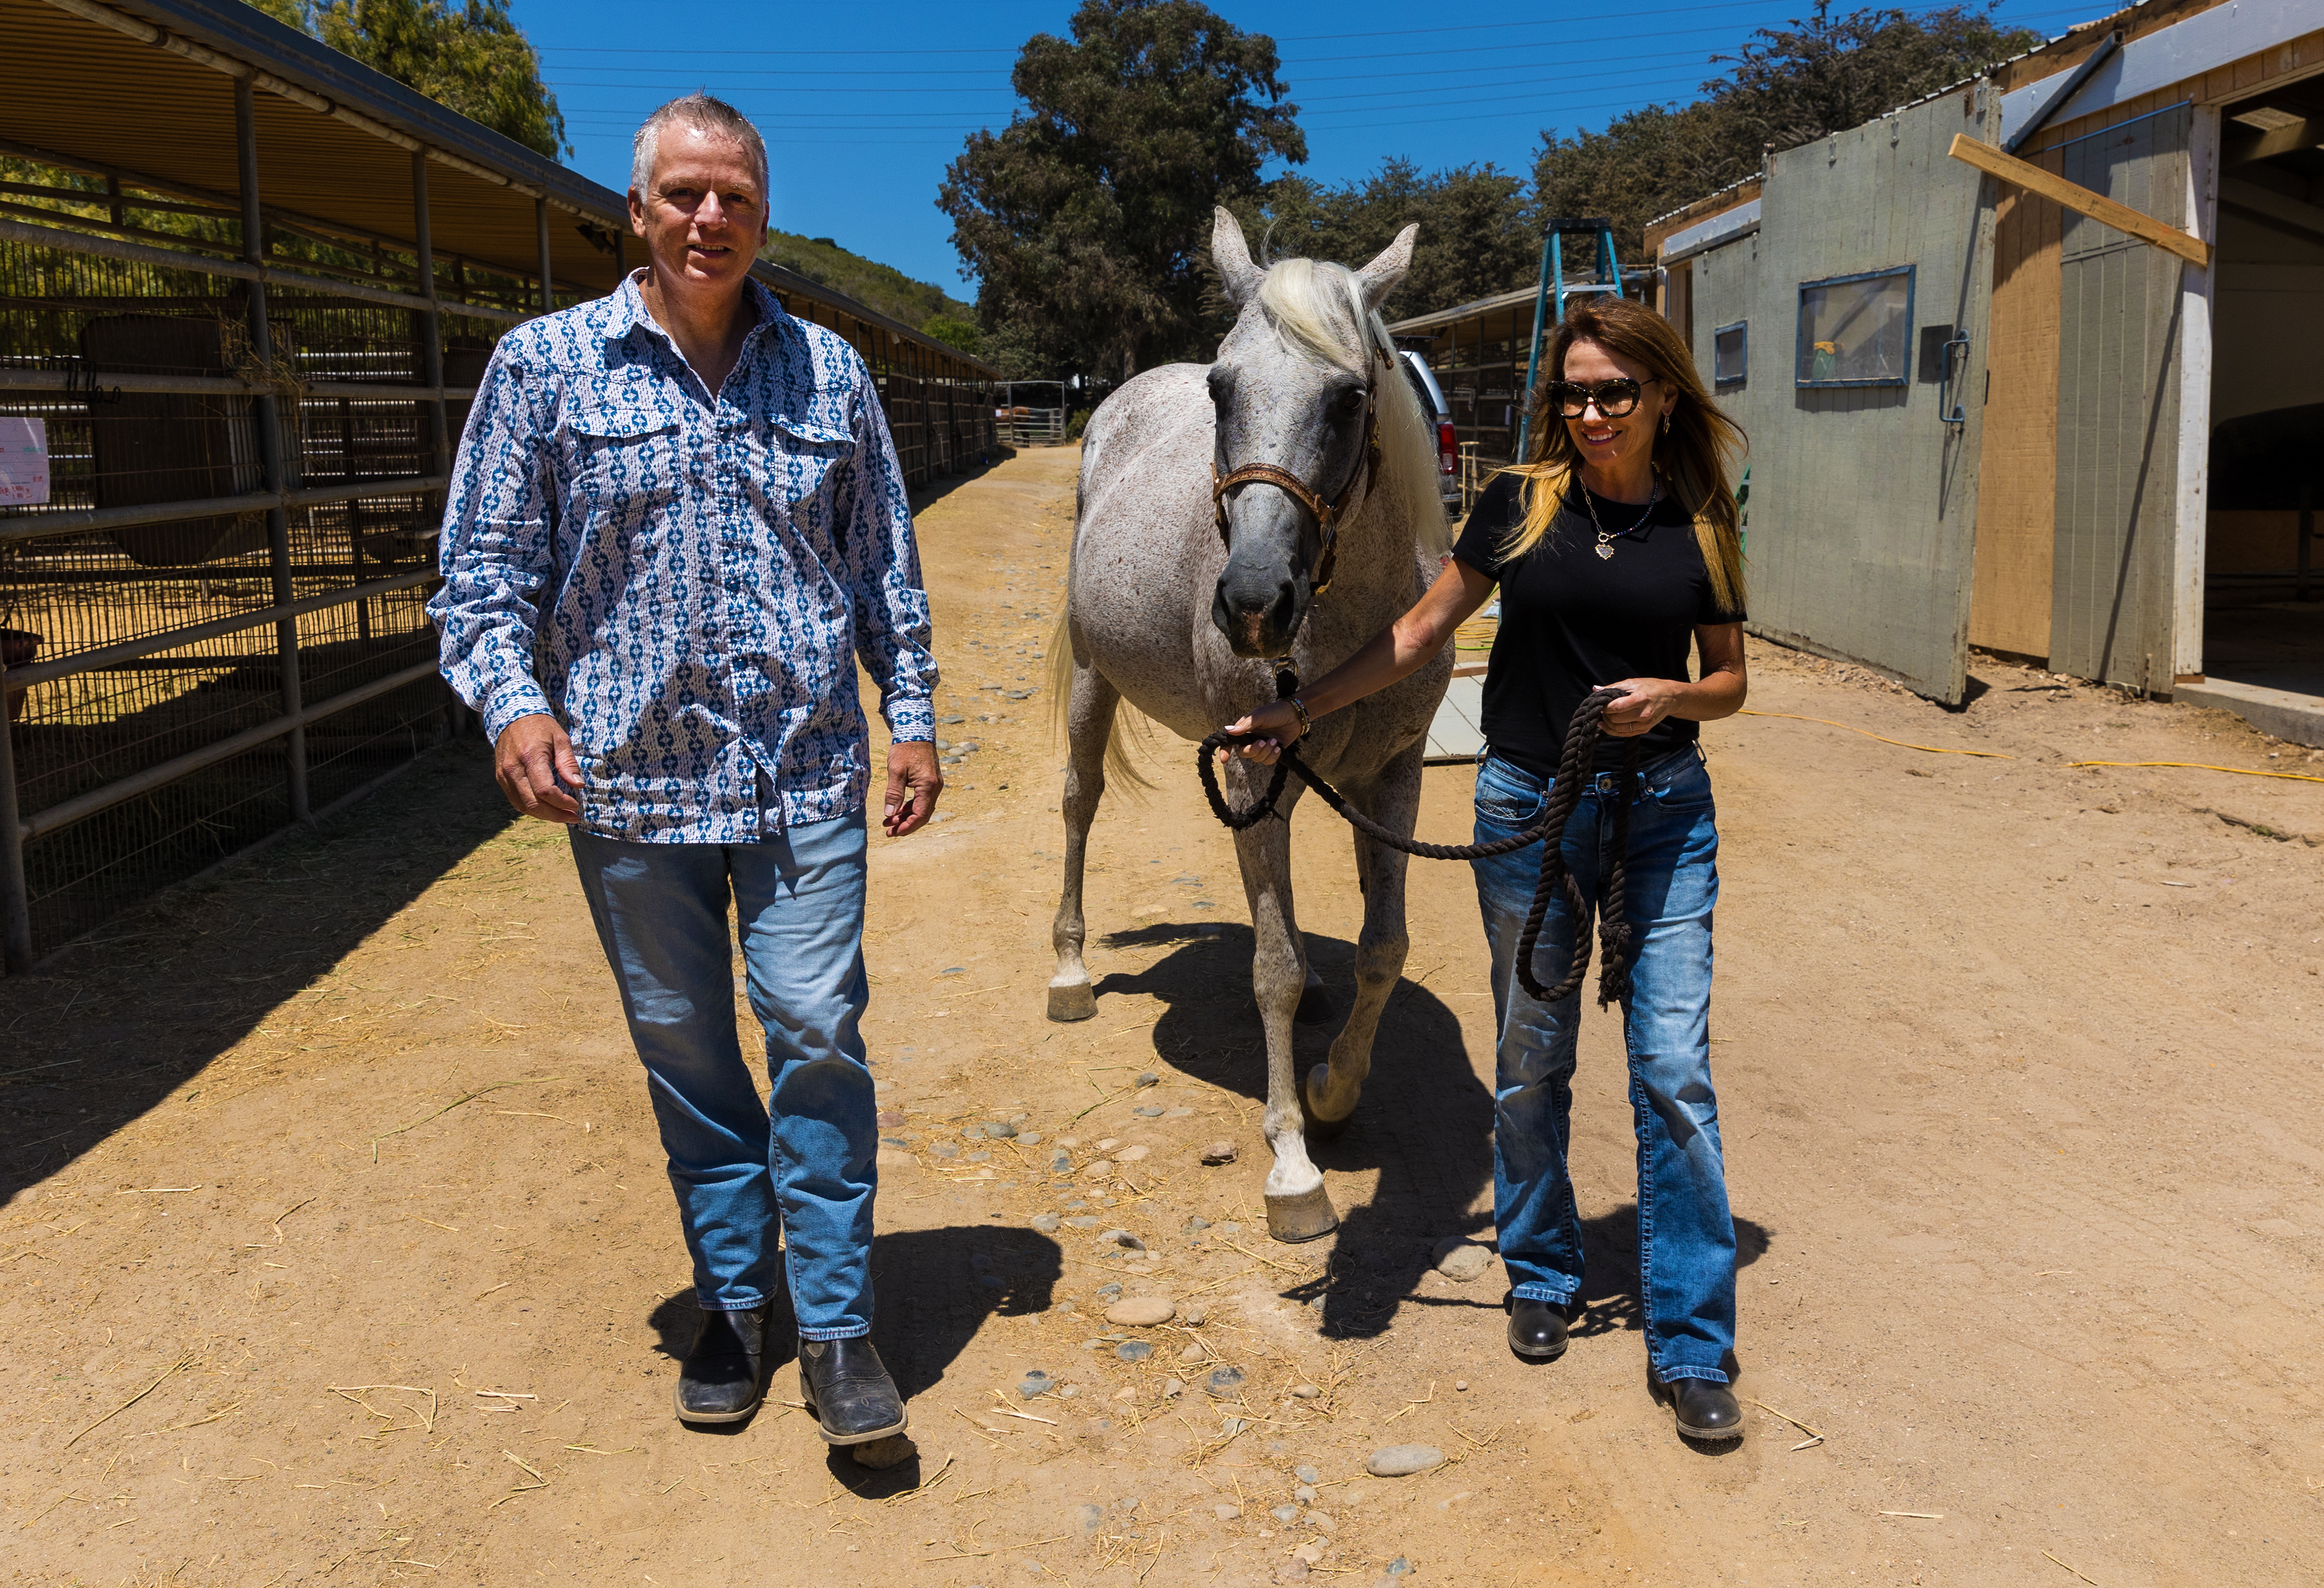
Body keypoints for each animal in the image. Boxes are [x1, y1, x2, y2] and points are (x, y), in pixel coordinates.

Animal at [1046, 208, 1441, 1246]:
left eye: (1350, 397)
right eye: (1222, 390)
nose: (1256, 603)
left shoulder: (1393, 774)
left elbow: (1383, 948)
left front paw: (1334, 1089)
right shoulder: (1253, 772)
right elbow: (1272, 968)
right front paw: (1294, 1163)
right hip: (1096, 683)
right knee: (1078, 805)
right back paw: (1069, 973)